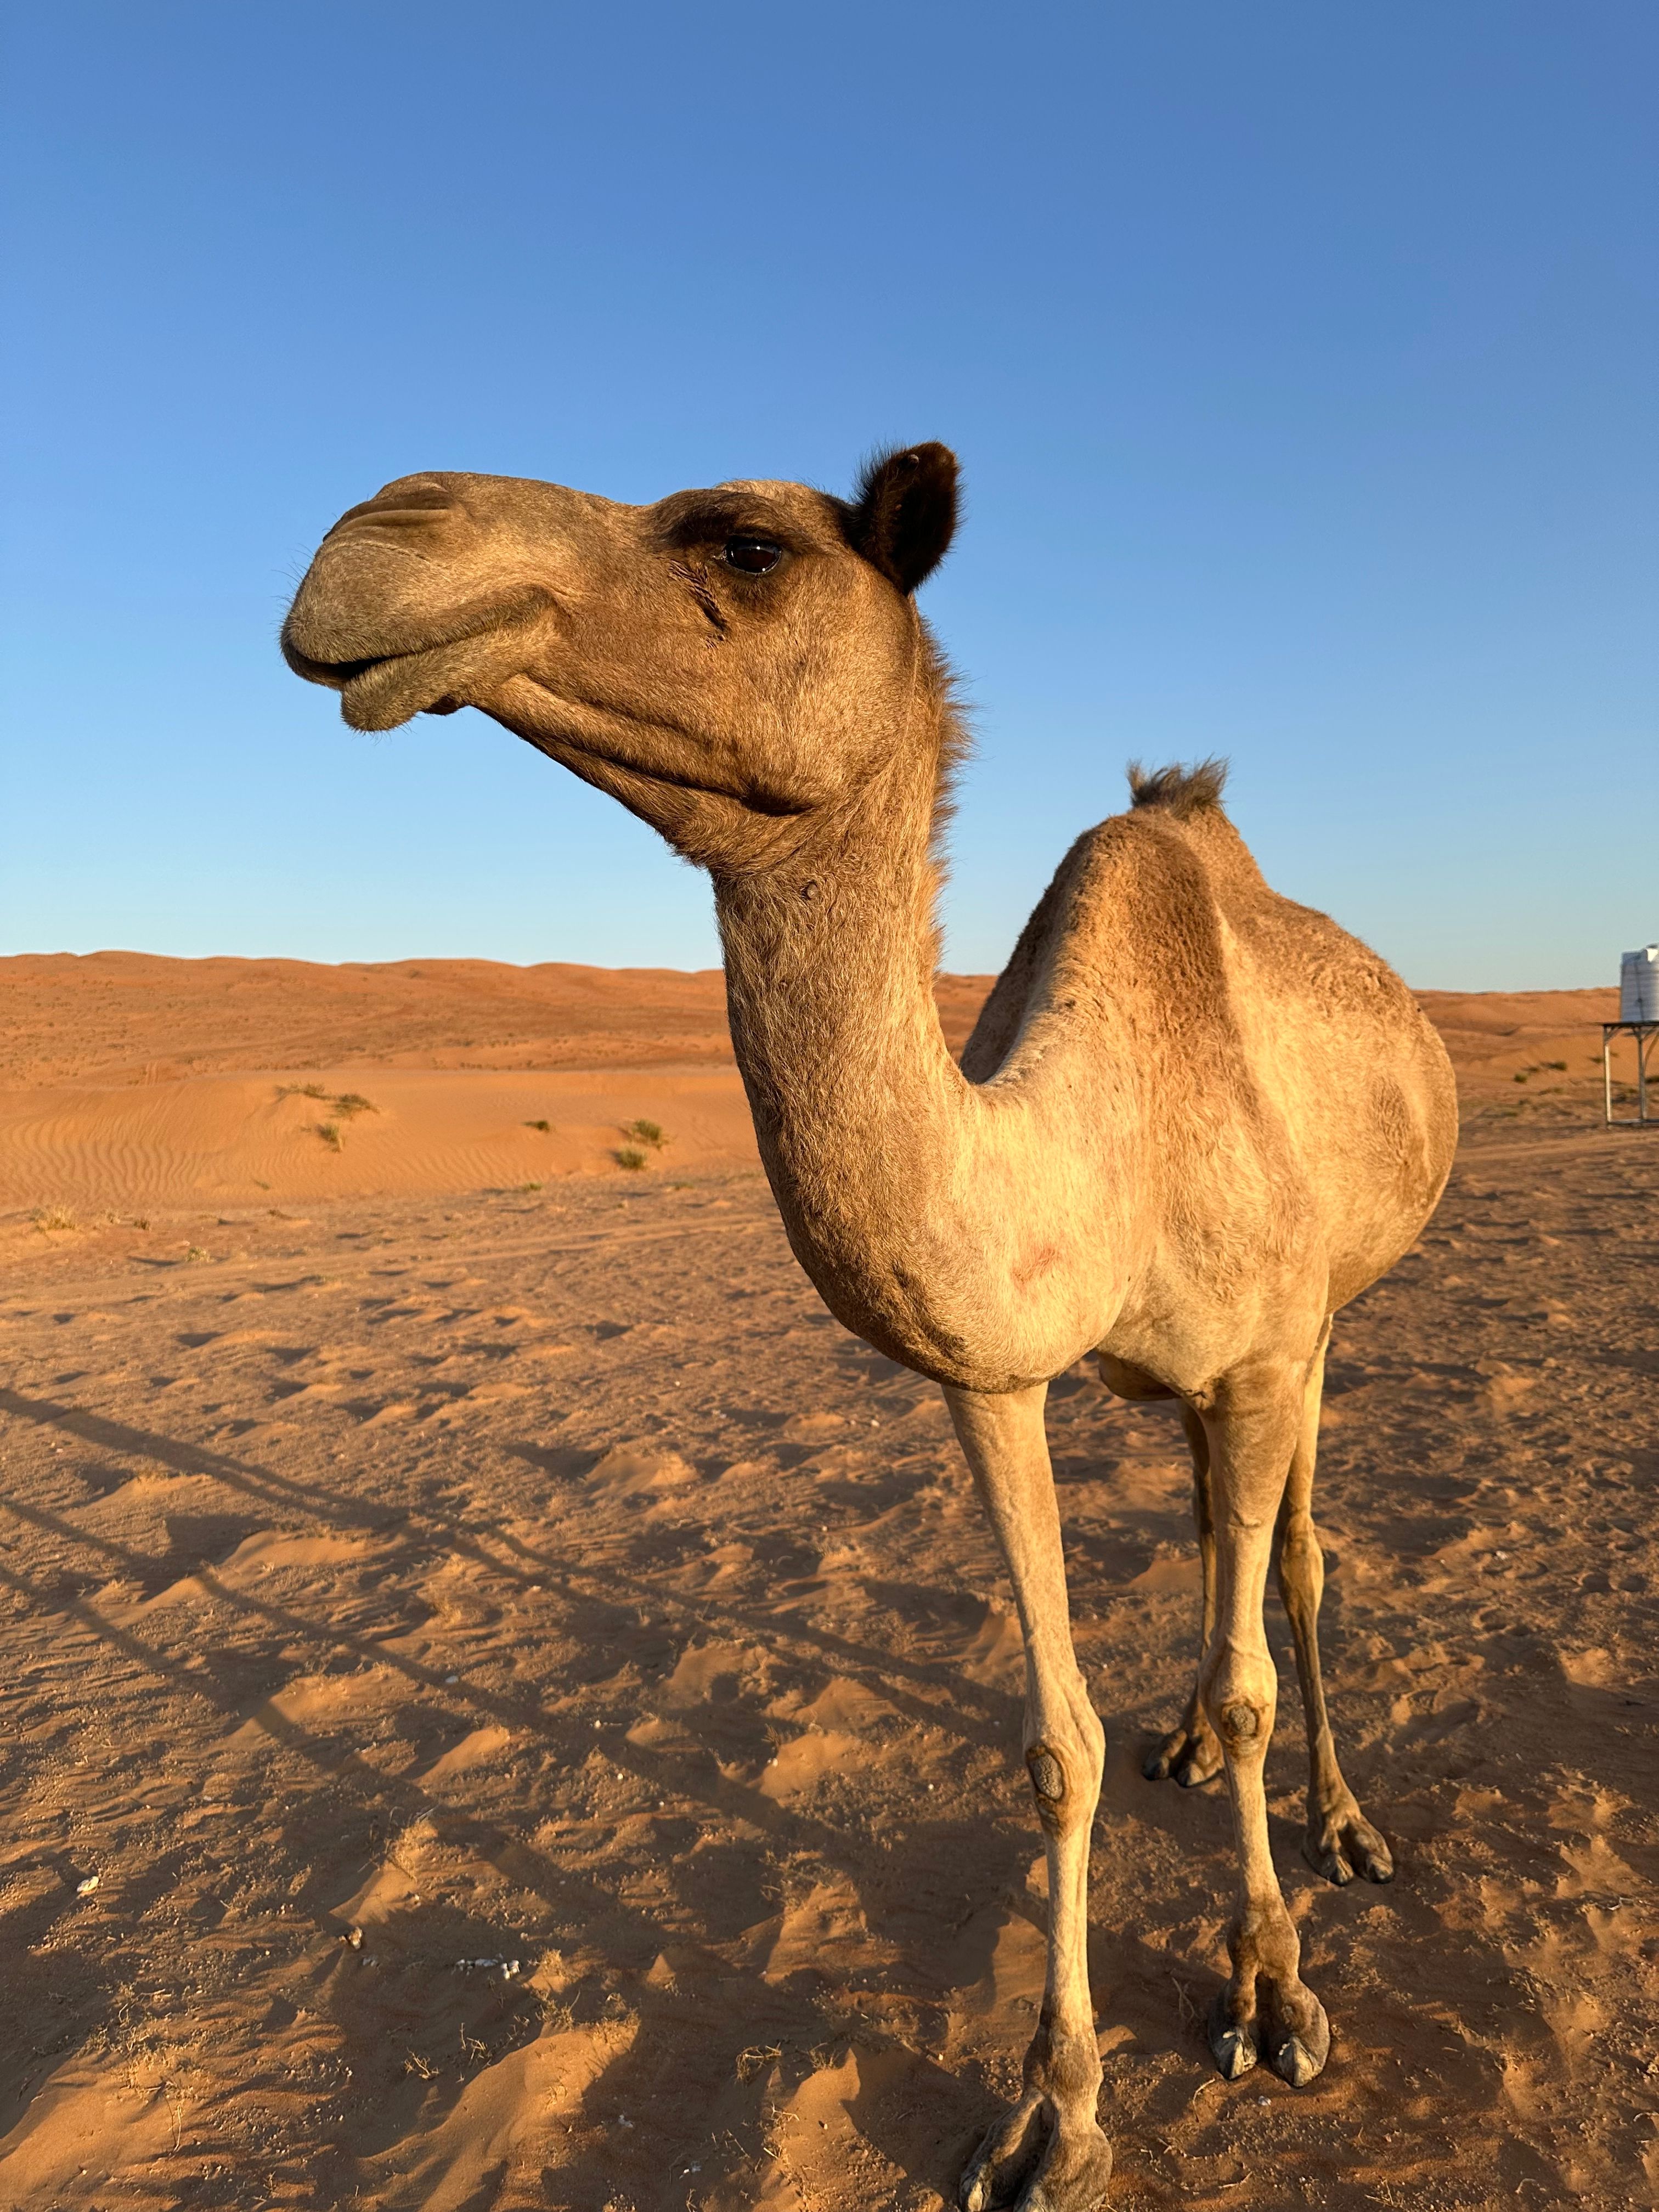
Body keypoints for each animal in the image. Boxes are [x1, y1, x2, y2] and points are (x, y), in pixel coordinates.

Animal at [283, 445, 1458, 2208]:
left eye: (747, 547)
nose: (373, 533)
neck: (1109, 1145)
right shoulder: (995, 1371)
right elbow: (1055, 1746)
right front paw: (1053, 2111)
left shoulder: (1265, 1352)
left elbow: (1265, 1644)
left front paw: (1267, 1986)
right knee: (1211, 1537)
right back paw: (1188, 1740)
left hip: (1330, 1324)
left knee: (1301, 1562)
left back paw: (1339, 1822)